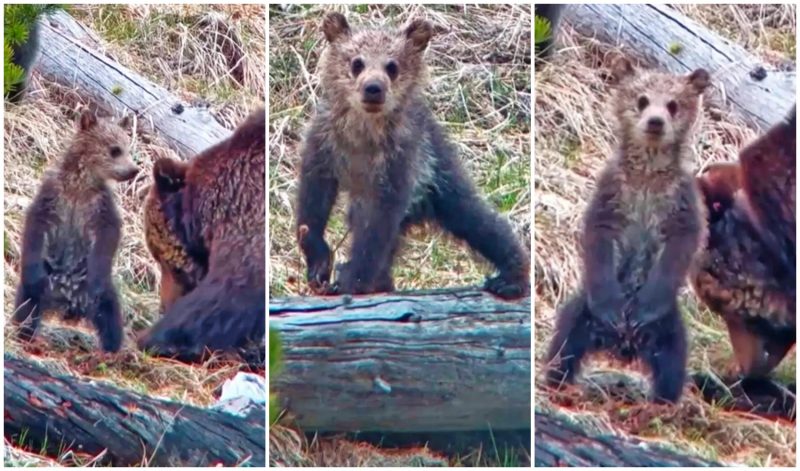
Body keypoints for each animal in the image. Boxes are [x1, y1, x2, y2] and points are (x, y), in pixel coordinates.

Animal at [12, 110, 139, 352]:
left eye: (128, 146)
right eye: (115, 149)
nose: (133, 170)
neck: (80, 184)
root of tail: (66, 301)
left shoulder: (99, 206)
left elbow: (108, 235)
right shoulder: (53, 195)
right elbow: (35, 226)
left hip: (92, 288)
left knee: (109, 311)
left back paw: (111, 350)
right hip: (47, 278)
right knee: (27, 302)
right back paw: (26, 336)